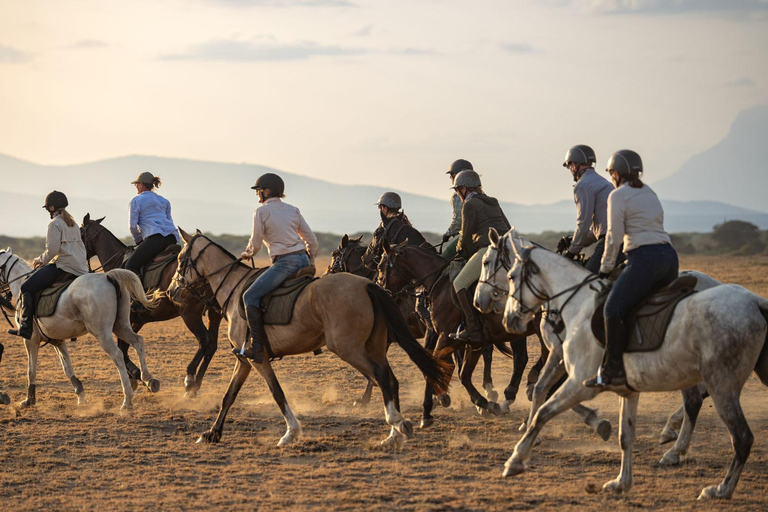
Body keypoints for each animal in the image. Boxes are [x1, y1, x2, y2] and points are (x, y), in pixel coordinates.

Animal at [0, 250, 159, 410]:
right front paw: (81, 395)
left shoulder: (30, 340)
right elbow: (67, 369)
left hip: (102, 334)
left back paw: (127, 400)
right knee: (138, 341)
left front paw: (29, 400)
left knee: (118, 355)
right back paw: (148, 379)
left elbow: (31, 370)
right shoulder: (57, 341)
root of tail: (107, 276)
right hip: (121, 326)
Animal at [82, 214, 224, 398]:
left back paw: (190, 380)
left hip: (189, 314)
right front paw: (137, 378)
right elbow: (124, 347)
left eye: (79, 232)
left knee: (205, 340)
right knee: (212, 345)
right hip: (215, 314)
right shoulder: (136, 320)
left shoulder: (125, 321)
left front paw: (140, 377)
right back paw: (196, 384)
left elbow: (123, 349)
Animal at [168, 230, 452, 446]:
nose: (171, 291)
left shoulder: (258, 359)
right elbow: (229, 396)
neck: (236, 288)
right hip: (374, 347)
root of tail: (368, 284)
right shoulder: (244, 360)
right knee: (390, 380)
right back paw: (394, 433)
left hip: (349, 349)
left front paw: (291, 433)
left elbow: (277, 392)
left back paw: (398, 423)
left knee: (381, 376)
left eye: (181, 258)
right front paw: (212, 433)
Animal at [376, 238, 544, 426]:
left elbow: (436, 367)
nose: (381, 290)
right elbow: (463, 374)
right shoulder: (473, 343)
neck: (438, 283)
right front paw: (484, 403)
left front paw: (427, 411)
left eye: (380, 266)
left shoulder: (445, 338)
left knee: (530, 358)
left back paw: (523, 392)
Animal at [498, 231, 768, 500]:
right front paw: (621, 482)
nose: (508, 321)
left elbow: (543, 409)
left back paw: (719, 487)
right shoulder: (626, 390)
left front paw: (516, 459)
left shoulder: (577, 381)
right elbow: (625, 436)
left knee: (739, 435)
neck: (579, 305)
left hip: (721, 384)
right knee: (702, 408)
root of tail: (755, 301)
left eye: (510, 275)